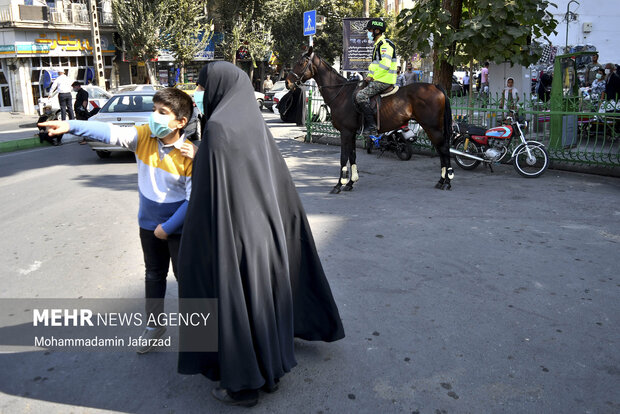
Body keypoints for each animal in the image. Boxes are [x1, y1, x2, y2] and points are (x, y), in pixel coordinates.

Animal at [286, 46, 456, 192]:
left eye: (301, 63)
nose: (287, 82)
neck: (341, 94)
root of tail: (435, 86)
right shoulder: (351, 133)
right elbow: (352, 156)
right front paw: (350, 182)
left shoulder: (345, 132)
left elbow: (343, 157)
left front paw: (339, 184)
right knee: (441, 150)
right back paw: (442, 180)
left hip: (432, 127)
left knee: (444, 149)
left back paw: (447, 181)